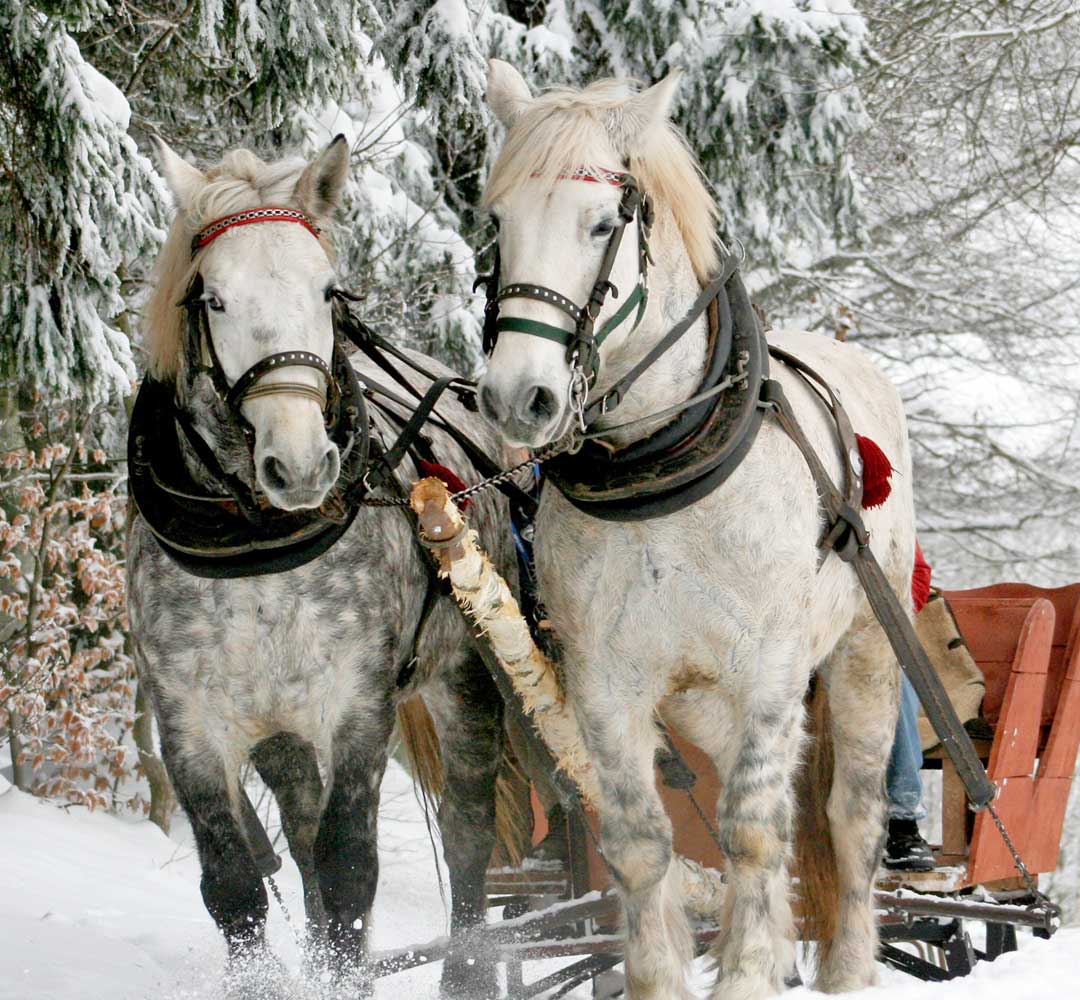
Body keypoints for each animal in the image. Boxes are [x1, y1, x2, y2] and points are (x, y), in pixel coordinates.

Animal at [477, 58, 915, 997]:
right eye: (498, 221)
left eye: (603, 222)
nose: (516, 397)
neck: (661, 472)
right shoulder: (606, 683)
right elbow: (644, 844)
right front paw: (667, 975)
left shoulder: (771, 670)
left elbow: (750, 829)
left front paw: (748, 972)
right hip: (704, 697)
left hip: (864, 649)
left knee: (848, 814)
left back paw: (848, 966)